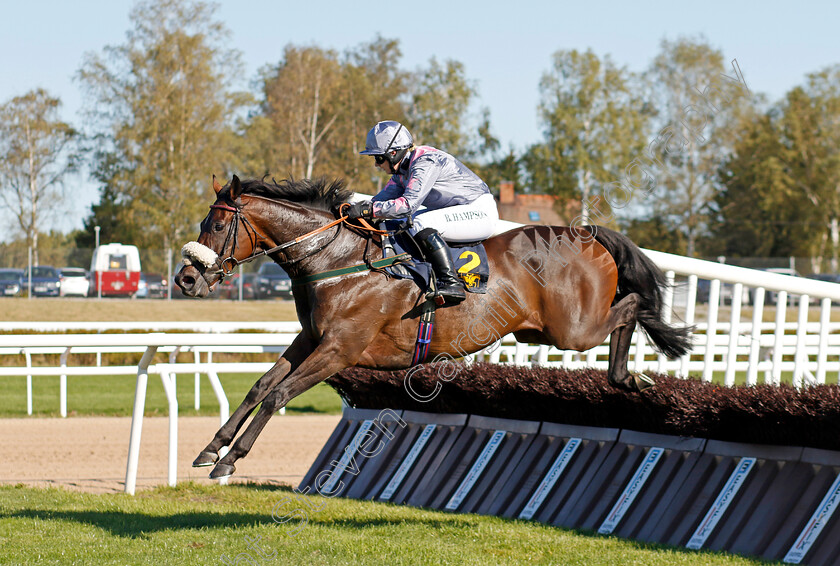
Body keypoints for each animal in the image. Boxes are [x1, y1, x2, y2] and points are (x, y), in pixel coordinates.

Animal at [172, 175, 688, 482]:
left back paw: (630, 375)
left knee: (631, 305)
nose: (186, 279)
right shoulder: (311, 340)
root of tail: (587, 233)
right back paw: (628, 379)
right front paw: (210, 449)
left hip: (572, 329)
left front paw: (231, 460)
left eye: (215, 225)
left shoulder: (339, 349)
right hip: (539, 331)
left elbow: (279, 394)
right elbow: (260, 386)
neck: (334, 261)